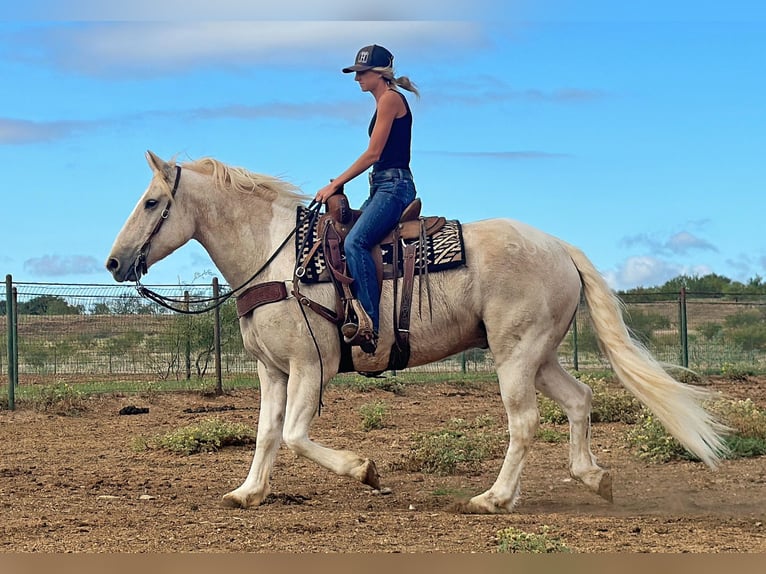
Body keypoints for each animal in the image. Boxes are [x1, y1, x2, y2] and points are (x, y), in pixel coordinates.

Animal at [105, 151, 728, 516]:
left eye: (152, 202)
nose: (114, 263)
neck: (280, 258)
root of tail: (558, 246)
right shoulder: (272, 371)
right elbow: (266, 434)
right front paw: (249, 492)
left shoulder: (311, 367)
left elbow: (296, 435)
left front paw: (366, 472)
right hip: (541, 354)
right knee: (579, 400)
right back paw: (591, 478)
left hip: (516, 355)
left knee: (524, 421)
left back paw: (495, 498)